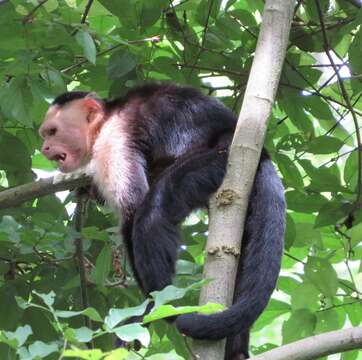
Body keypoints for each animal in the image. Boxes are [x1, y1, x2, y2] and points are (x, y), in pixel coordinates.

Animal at [39, 83, 286, 358]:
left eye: (52, 132)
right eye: (45, 135)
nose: (45, 148)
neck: (105, 121)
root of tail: (259, 153)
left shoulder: (113, 140)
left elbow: (133, 209)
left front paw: (145, 307)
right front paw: (86, 190)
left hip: (217, 160)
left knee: (154, 211)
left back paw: (158, 304)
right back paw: (236, 350)